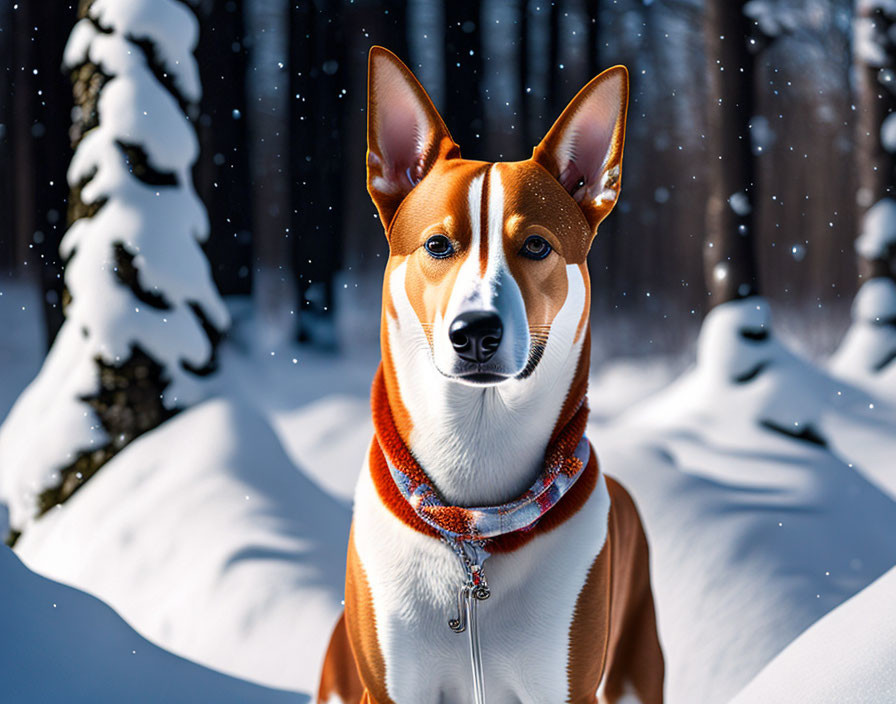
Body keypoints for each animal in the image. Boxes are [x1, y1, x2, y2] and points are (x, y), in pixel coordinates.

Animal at [316, 48, 664, 704]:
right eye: (436, 245)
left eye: (536, 246)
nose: (475, 331)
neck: (475, 523)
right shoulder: (391, 686)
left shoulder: (564, 686)